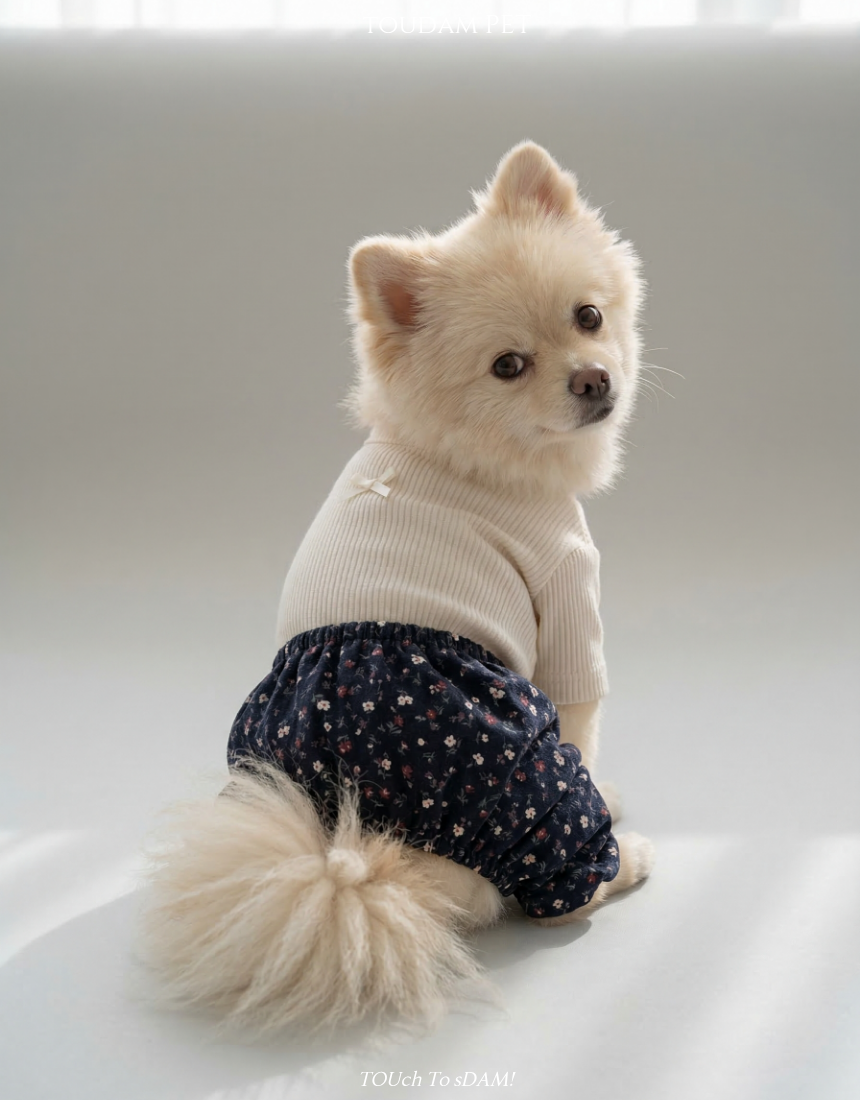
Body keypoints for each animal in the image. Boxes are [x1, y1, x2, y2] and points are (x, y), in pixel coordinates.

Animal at [138, 141, 655, 1036]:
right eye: (509, 366)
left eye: (588, 317)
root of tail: (355, 855)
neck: (467, 455)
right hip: (523, 782)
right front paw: (613, 793)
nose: (593, 379)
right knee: (557, 886)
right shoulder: (566, 601)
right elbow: (586, 725)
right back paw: (625, 864)